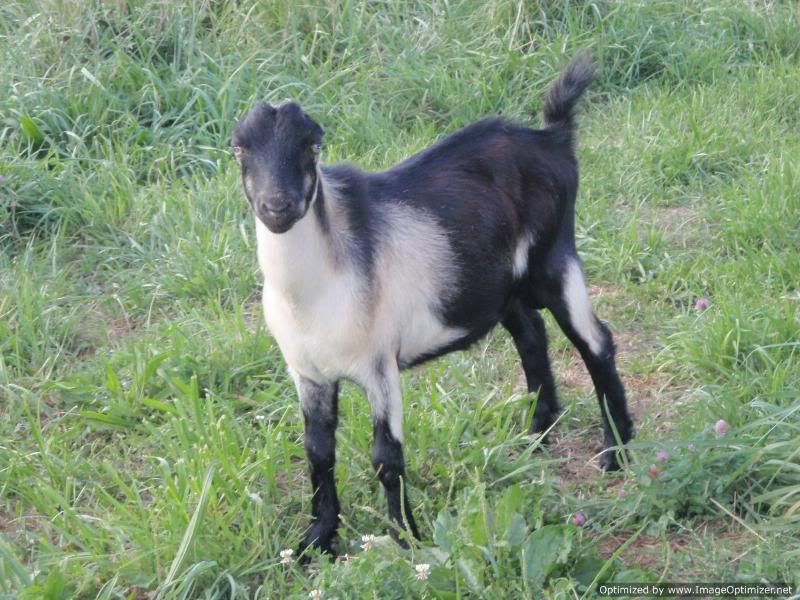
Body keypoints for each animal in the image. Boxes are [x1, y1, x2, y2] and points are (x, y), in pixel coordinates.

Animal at [232, 54, 633, 556]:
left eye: (312, 146)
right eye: (239, 150)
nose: (277, 205)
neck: (316, 289)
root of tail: (552, 138)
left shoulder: (379, 364)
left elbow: (386, 457)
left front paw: (407, 540)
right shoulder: (308, 374)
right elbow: (318, 453)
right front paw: (317, 539)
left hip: (554, 259)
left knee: (596, 342)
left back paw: (616, 452)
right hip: (503, 283)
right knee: (531, 335)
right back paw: (537, 436)